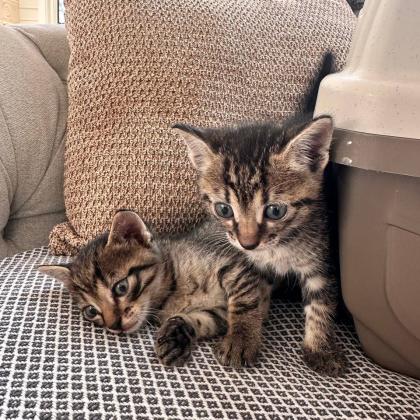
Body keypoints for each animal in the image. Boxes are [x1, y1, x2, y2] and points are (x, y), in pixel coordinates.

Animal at [39, 210, 271, 367]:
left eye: (121, 287)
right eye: (91, 311)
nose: (114, 326)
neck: (172, 291)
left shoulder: (235, 267)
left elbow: (245, 303)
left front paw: (241, 340)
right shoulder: (218, 312)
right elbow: (202, 319)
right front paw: (176, 336)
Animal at [172, 56, 347, 376]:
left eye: (275, 211)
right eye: (223, 209)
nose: (248, 243)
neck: (279, 249)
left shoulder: (322, 256)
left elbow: (321, 302)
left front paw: (320, 347)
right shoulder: (248, 261)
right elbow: (249, 296)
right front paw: (243, 334)